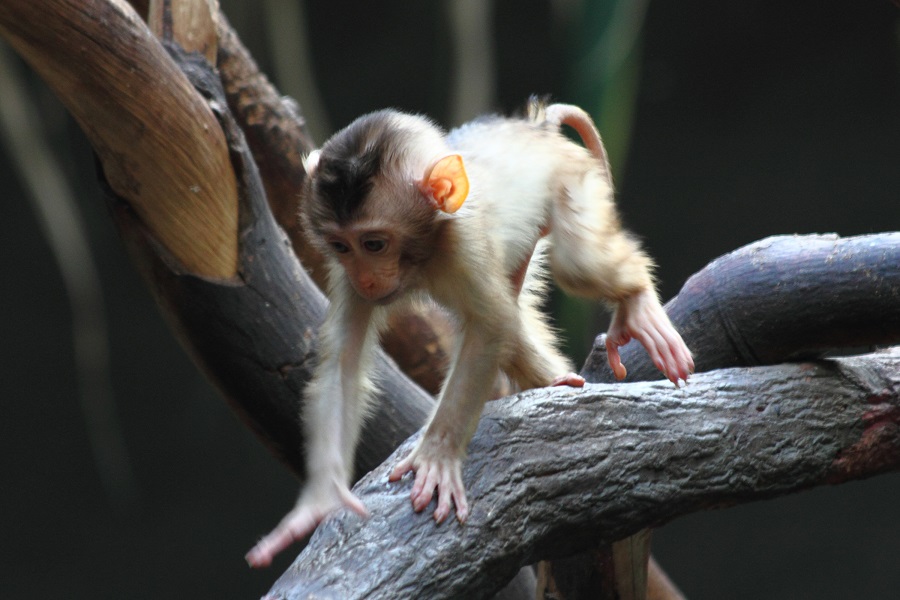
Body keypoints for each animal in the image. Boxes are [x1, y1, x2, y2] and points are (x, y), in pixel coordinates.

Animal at [245, 99, 694, 568]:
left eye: (374, 244)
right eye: (341, 247)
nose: (366, 278)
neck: (424, 253)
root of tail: (536, 129)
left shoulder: (462, 240)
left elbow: (489, 326)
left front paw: (437, 457)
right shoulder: (348, 278)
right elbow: (344, 362)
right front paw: (322, 499)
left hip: (570, 182)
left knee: (577, 266)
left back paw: (637, 303)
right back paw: (555, 379)